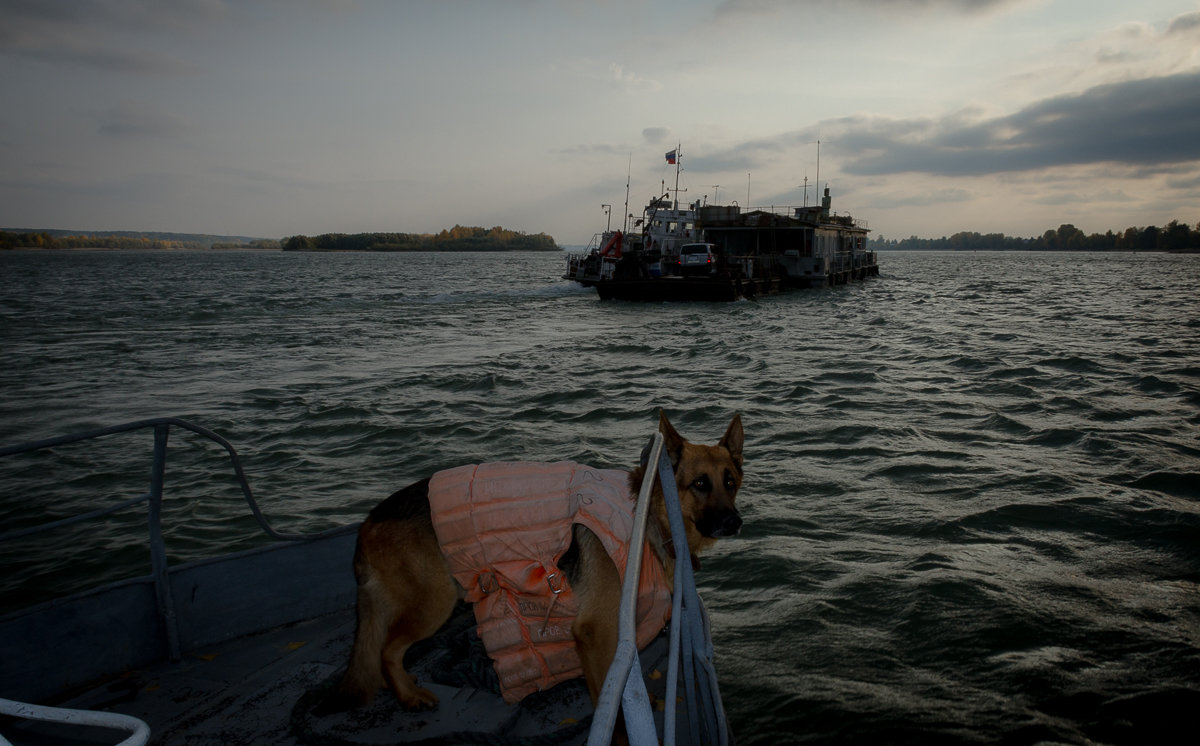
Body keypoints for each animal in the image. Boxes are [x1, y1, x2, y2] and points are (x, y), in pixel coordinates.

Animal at [324, 412, 744, 714]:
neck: (648, 510)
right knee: (386, 652)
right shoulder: (595, 633)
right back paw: (409, 696)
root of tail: (369, 521)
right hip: (433, 604)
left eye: (731, 482)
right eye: (700, 484)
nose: (734, 523)